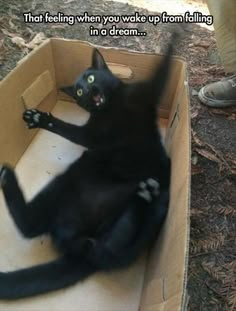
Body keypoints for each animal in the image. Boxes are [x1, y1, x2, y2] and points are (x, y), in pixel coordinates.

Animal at [0, 36, 175, 300]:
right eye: (79, 91)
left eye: (91, 79)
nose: (88, 90)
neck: (110, 109)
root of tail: (75, 240)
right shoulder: (90, 136)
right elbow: (65, 128)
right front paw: (39, 118)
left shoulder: (142, 97)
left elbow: (162, 68)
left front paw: (177, 36)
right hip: (69, 181)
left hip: (150, 206)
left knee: (109, 250)